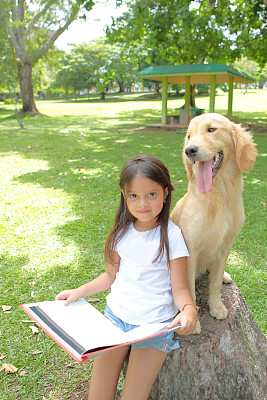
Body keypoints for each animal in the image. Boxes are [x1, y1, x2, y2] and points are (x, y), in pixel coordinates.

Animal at [172, 112, 258, 332]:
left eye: (211, 129)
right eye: (189, 136)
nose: (190, 150)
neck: (219, 197)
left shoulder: (225, 246)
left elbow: (216, 282)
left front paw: (217, 306)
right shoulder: (189, 251)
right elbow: (189, 291)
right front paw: (193, 323)